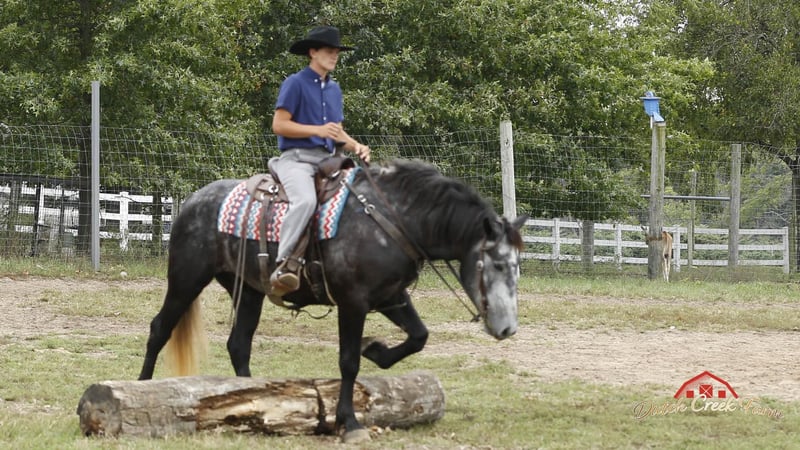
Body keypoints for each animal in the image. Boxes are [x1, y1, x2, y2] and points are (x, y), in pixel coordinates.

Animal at [137, 158, 528, 443]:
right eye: (496, 263)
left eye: (517, 266)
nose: (508, 329)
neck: (391, 219)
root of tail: (192, 201)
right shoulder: (353, 302)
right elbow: (348, 362)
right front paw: (349, 422)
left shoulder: (391, 295)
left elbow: (418, 336)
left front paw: (377, 350)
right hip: (186, 279)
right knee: (160, 329)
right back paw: (141, 389)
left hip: (248, 290)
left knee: (239, 343)